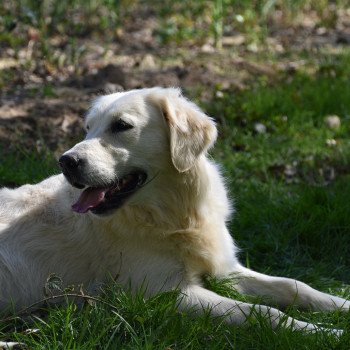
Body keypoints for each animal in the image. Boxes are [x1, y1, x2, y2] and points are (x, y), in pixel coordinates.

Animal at [0, 86, 350, 340]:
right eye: (88, 129)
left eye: (121, 126)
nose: (66, 161)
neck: (174, 216)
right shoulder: (163, 293)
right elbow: (266, 312)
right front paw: (327, 333)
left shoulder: (225, 270)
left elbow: (295, 286)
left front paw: (341, 306)